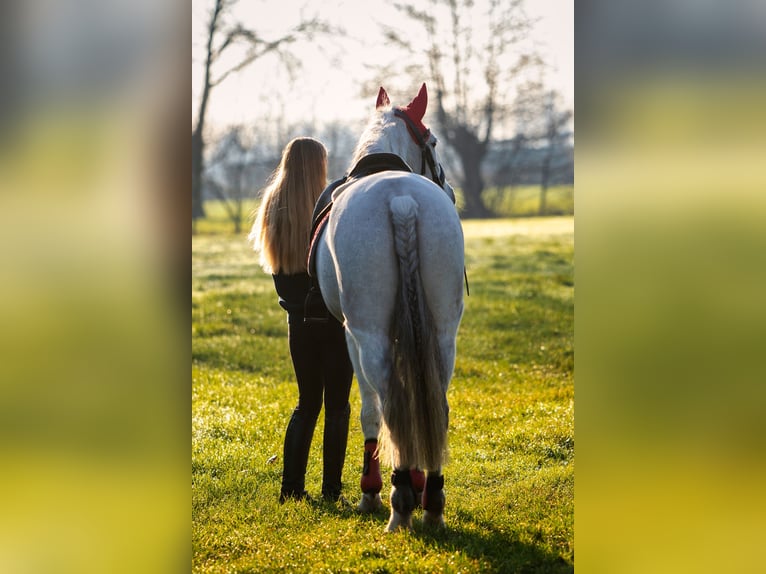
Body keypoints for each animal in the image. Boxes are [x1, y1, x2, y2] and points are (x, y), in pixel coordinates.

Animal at [314, 83, 468, 532]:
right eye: (434, 142)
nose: (452, 191)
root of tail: (401, 200)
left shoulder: (352, 335)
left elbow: (370, 412)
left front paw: (375, 490)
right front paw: (416, 483)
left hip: (369, 336)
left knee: (387, 406)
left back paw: (398, 503)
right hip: (444, 333)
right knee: (436, 403)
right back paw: (431, 502)